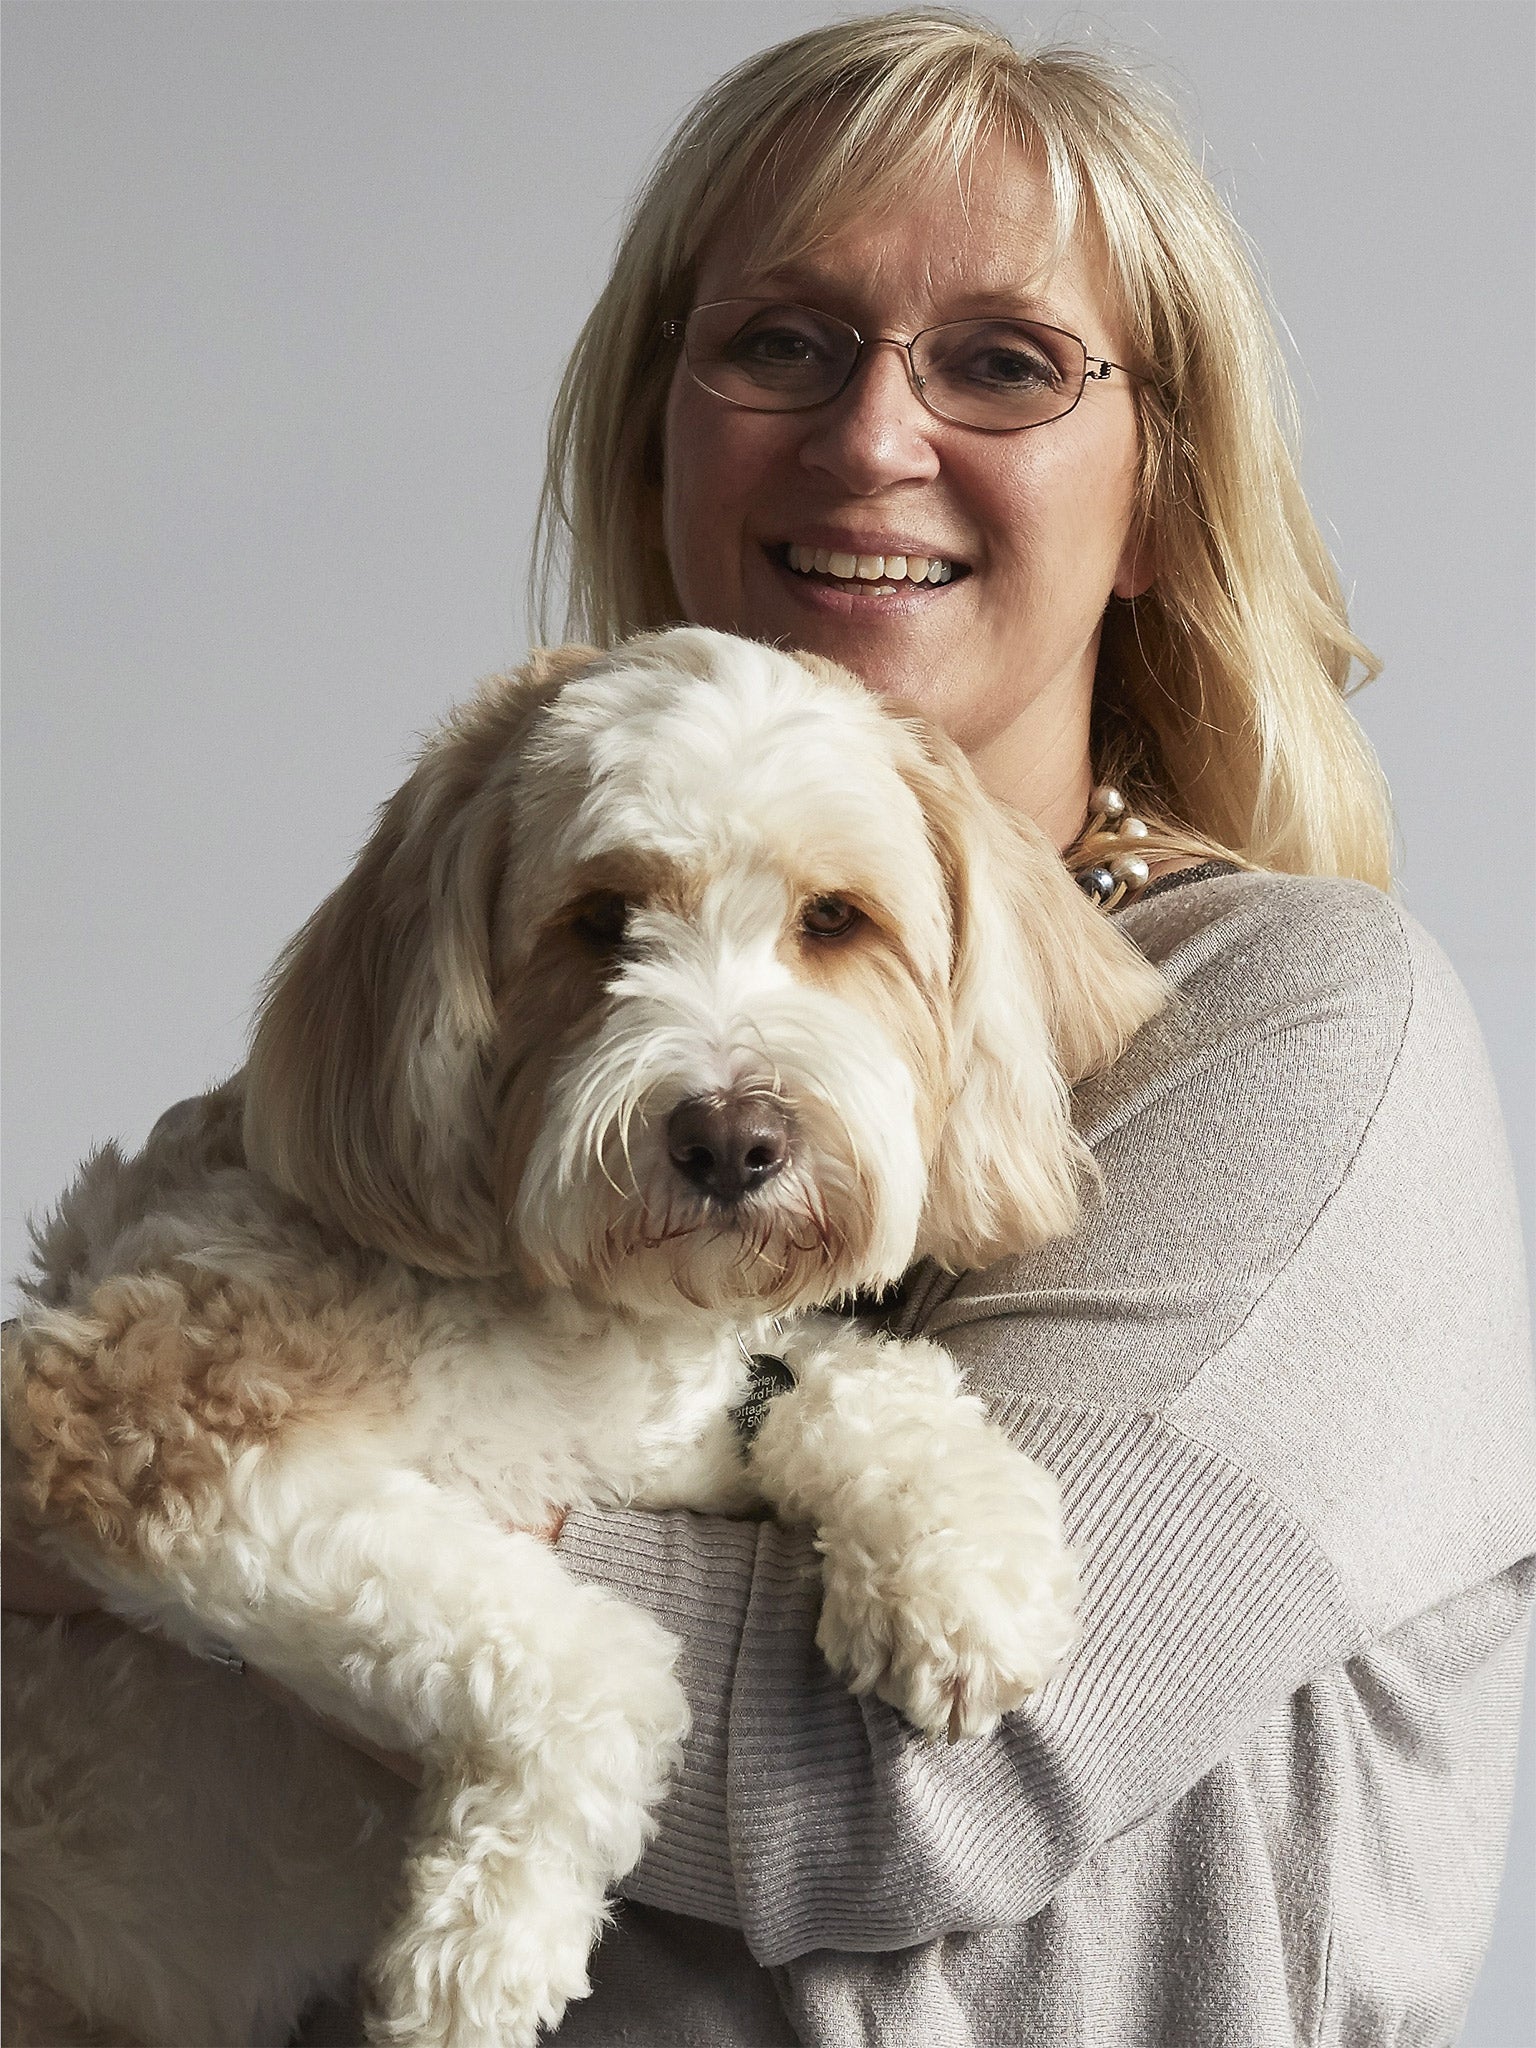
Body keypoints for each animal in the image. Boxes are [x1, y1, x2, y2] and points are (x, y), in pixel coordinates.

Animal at [0, 626, 1163, 2048]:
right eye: (601, 919)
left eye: (835, 919)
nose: (730, 1138)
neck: (575, 1315)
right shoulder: (141, 1411)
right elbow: (597, 1662)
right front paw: (478, 1953)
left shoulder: (679, 1432)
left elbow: (858, 1377)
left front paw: (959, 1562)